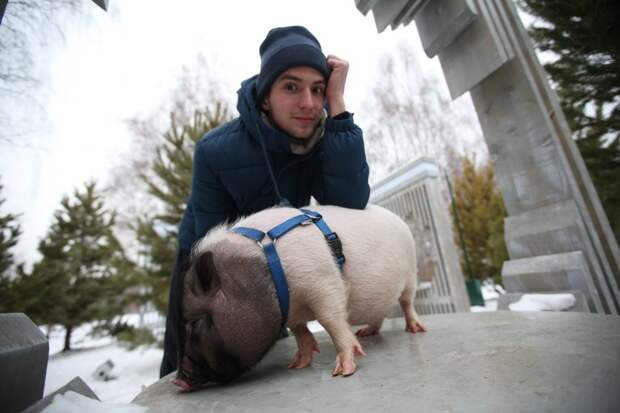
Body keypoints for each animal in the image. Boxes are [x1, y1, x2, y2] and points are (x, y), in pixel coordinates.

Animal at [173, 204, 426, 392]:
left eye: (193, 322)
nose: (177, 381)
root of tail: (398, 219)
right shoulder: (292, 312)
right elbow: (300, 332)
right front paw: (296, 366)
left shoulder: (323, 283)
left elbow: (332, 322)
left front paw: (343, 371)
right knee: (379, 316)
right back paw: (366, 333)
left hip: (411, 274)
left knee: (407, 303)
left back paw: (415, 329)